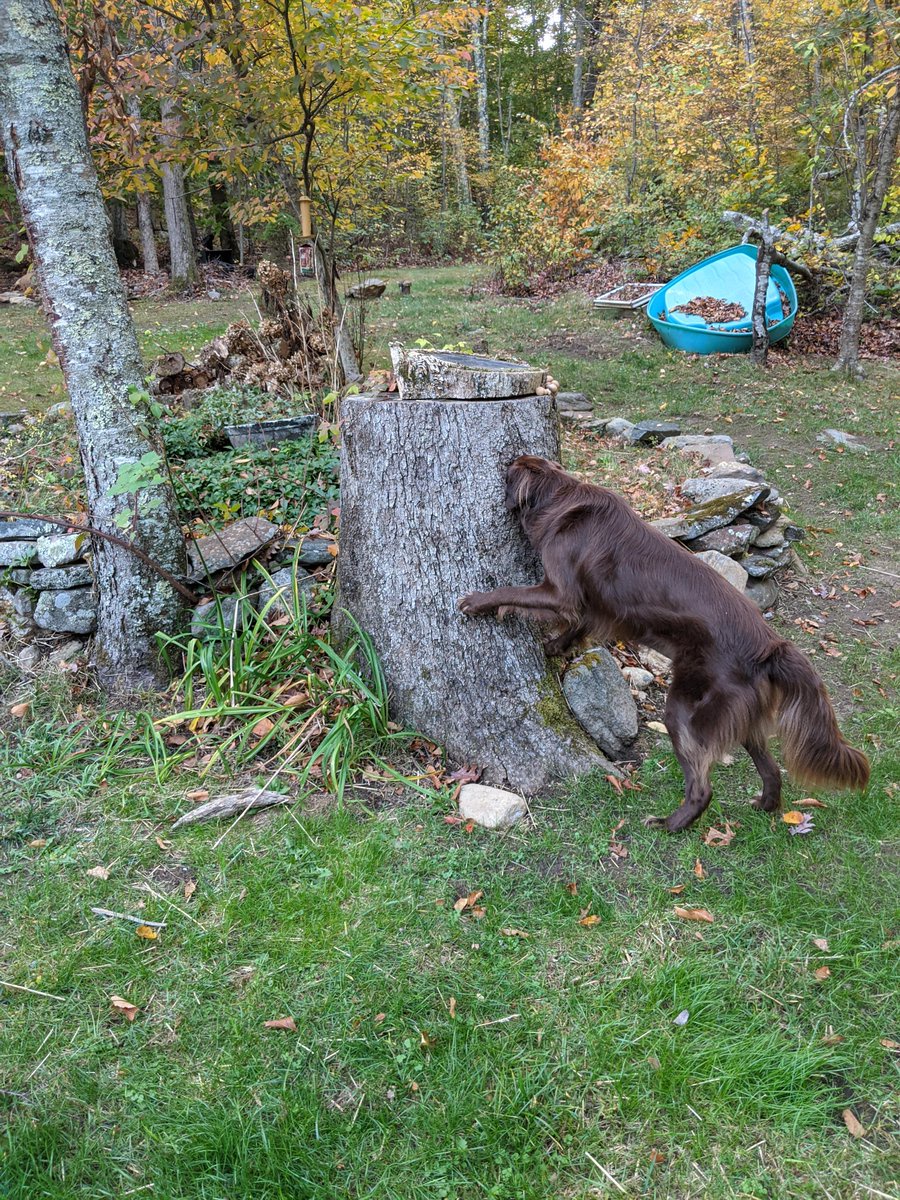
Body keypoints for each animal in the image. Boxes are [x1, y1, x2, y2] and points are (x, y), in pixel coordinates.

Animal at [458, 455, 869, 831]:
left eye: (510, 471)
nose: (508, 461)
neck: (561, 498)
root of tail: (770, 647)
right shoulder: (591, 605)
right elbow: (576, 626)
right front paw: (554, 649)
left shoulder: (560, 591)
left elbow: (515, 591)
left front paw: (477, 602)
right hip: (744, 717)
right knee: (771, 770)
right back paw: (765, 806)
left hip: (687, 708)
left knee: (702, 785)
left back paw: (670, 824)